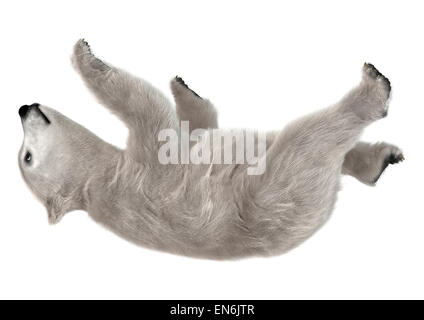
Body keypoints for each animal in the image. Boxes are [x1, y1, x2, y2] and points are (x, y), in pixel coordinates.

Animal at [18, 40, 404, 260]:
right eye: (27, 157)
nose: (24, 108)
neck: (95, 182)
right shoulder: (137, 181)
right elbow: (152, 117)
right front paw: (85, 57)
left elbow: (197, 129)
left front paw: (182, 87)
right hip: (280, 186)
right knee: (313, 135)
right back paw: (374, 89)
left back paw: (379, 159)